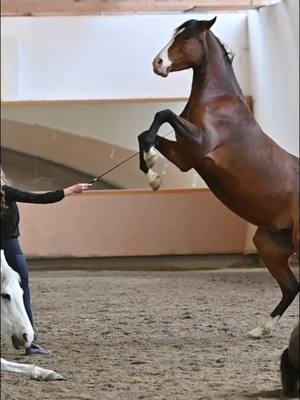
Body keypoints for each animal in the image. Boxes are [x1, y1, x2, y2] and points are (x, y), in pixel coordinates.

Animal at [139, 18, 300, 338]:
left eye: (185, 38)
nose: (157, 63)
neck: (219, 101)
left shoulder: (200, 146)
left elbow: (163, 113)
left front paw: (151, 165)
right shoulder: (185, 157)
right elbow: (147, 131)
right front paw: (152, 174)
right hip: (269, 243)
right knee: (291, 286)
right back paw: (261, 328)